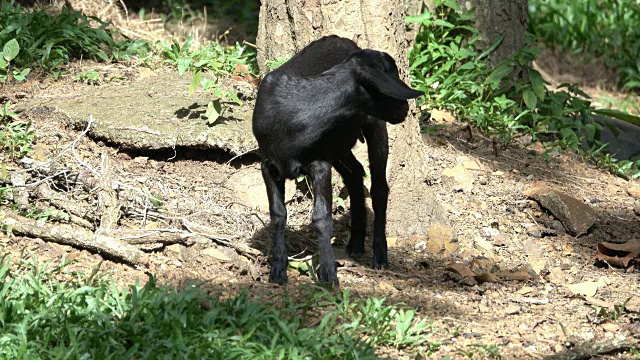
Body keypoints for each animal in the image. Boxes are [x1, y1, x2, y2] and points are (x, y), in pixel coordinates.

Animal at [252, 35, 422, 286]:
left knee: (379, 187)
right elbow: (278, 214)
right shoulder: (268, 165)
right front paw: (278, 269)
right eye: (391, 75)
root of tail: (345, 41)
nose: (405, 108)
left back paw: (379, 256)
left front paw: (328, 275)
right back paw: (356, 243)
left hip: (373, 127)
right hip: (339, 146)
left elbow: (321, 217)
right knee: (356, 173)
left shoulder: (320, 163)